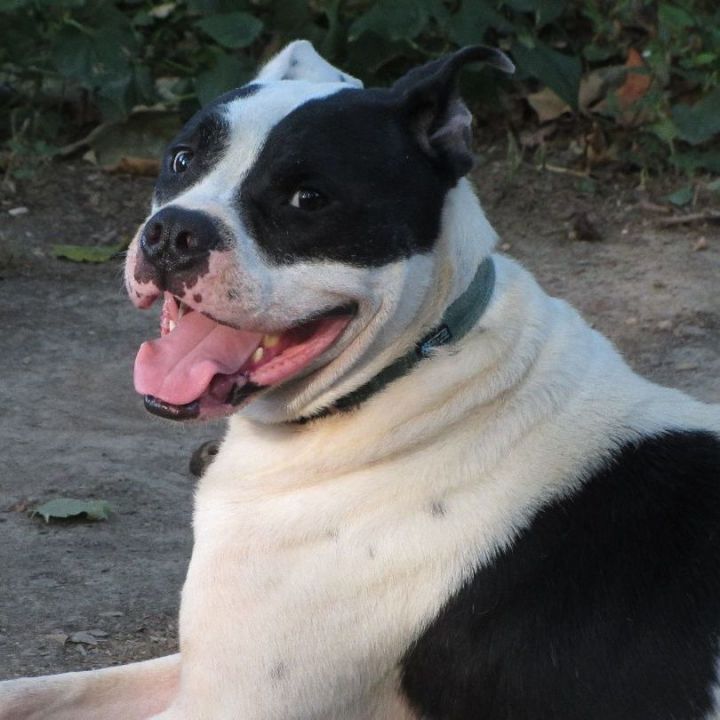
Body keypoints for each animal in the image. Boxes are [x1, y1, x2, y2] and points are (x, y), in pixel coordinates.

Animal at [1, 38, 720, 720]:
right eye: (181, 161)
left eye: (308, 198)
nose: (173, 232)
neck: (413, 371)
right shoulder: (198, 668)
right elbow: (40, 689)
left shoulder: (228, 702)